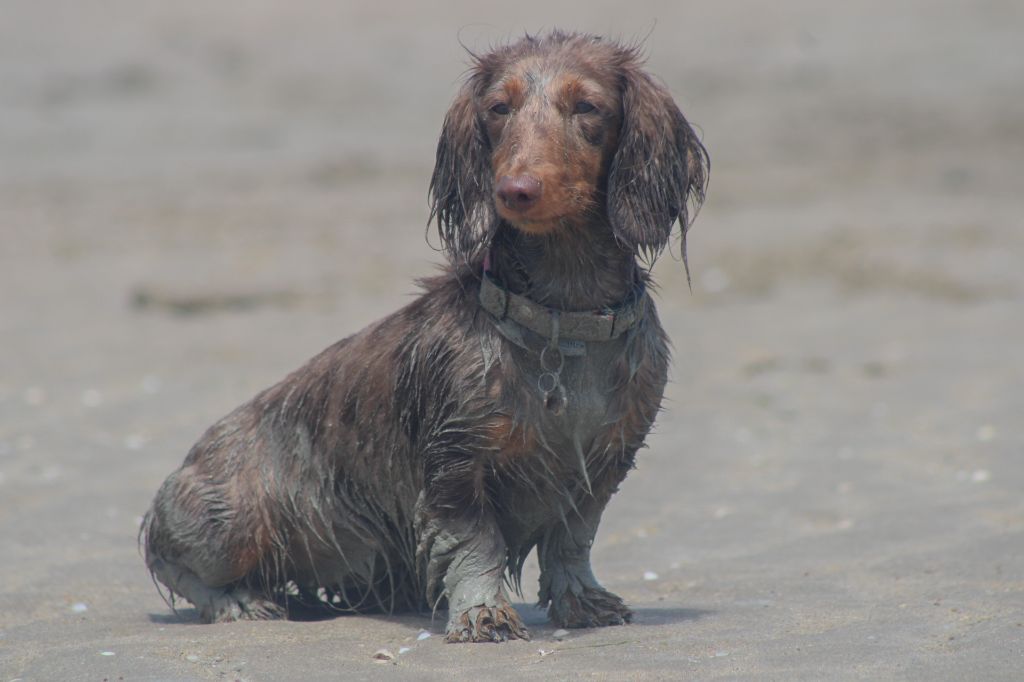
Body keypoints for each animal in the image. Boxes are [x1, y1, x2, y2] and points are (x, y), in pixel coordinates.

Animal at [140, 29, 708, 638]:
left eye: (587, 106)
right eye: (498, 108)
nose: (516, 190)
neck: (561, 323)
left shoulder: (603, 464)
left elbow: (572, 540)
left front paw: (581, 599)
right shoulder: (454, 463)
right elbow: (474, 543)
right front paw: (483, 612)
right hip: (233, 520)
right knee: (170, 559)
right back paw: (238, 601)